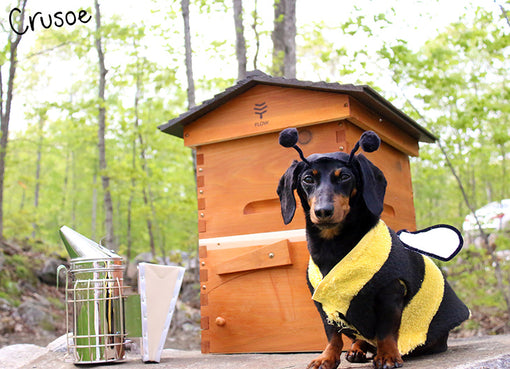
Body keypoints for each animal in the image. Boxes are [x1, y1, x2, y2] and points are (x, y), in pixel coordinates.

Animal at [276, 128, 468, 366]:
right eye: (308, 179)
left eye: (345, 177)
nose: (323, 211)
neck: (333, 245)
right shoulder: (323, 302)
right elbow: (332, 335)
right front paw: (327, 358)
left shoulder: (391, 291)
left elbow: (385, 331)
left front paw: (387, 356)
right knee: (359, 338)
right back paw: (357, 349)